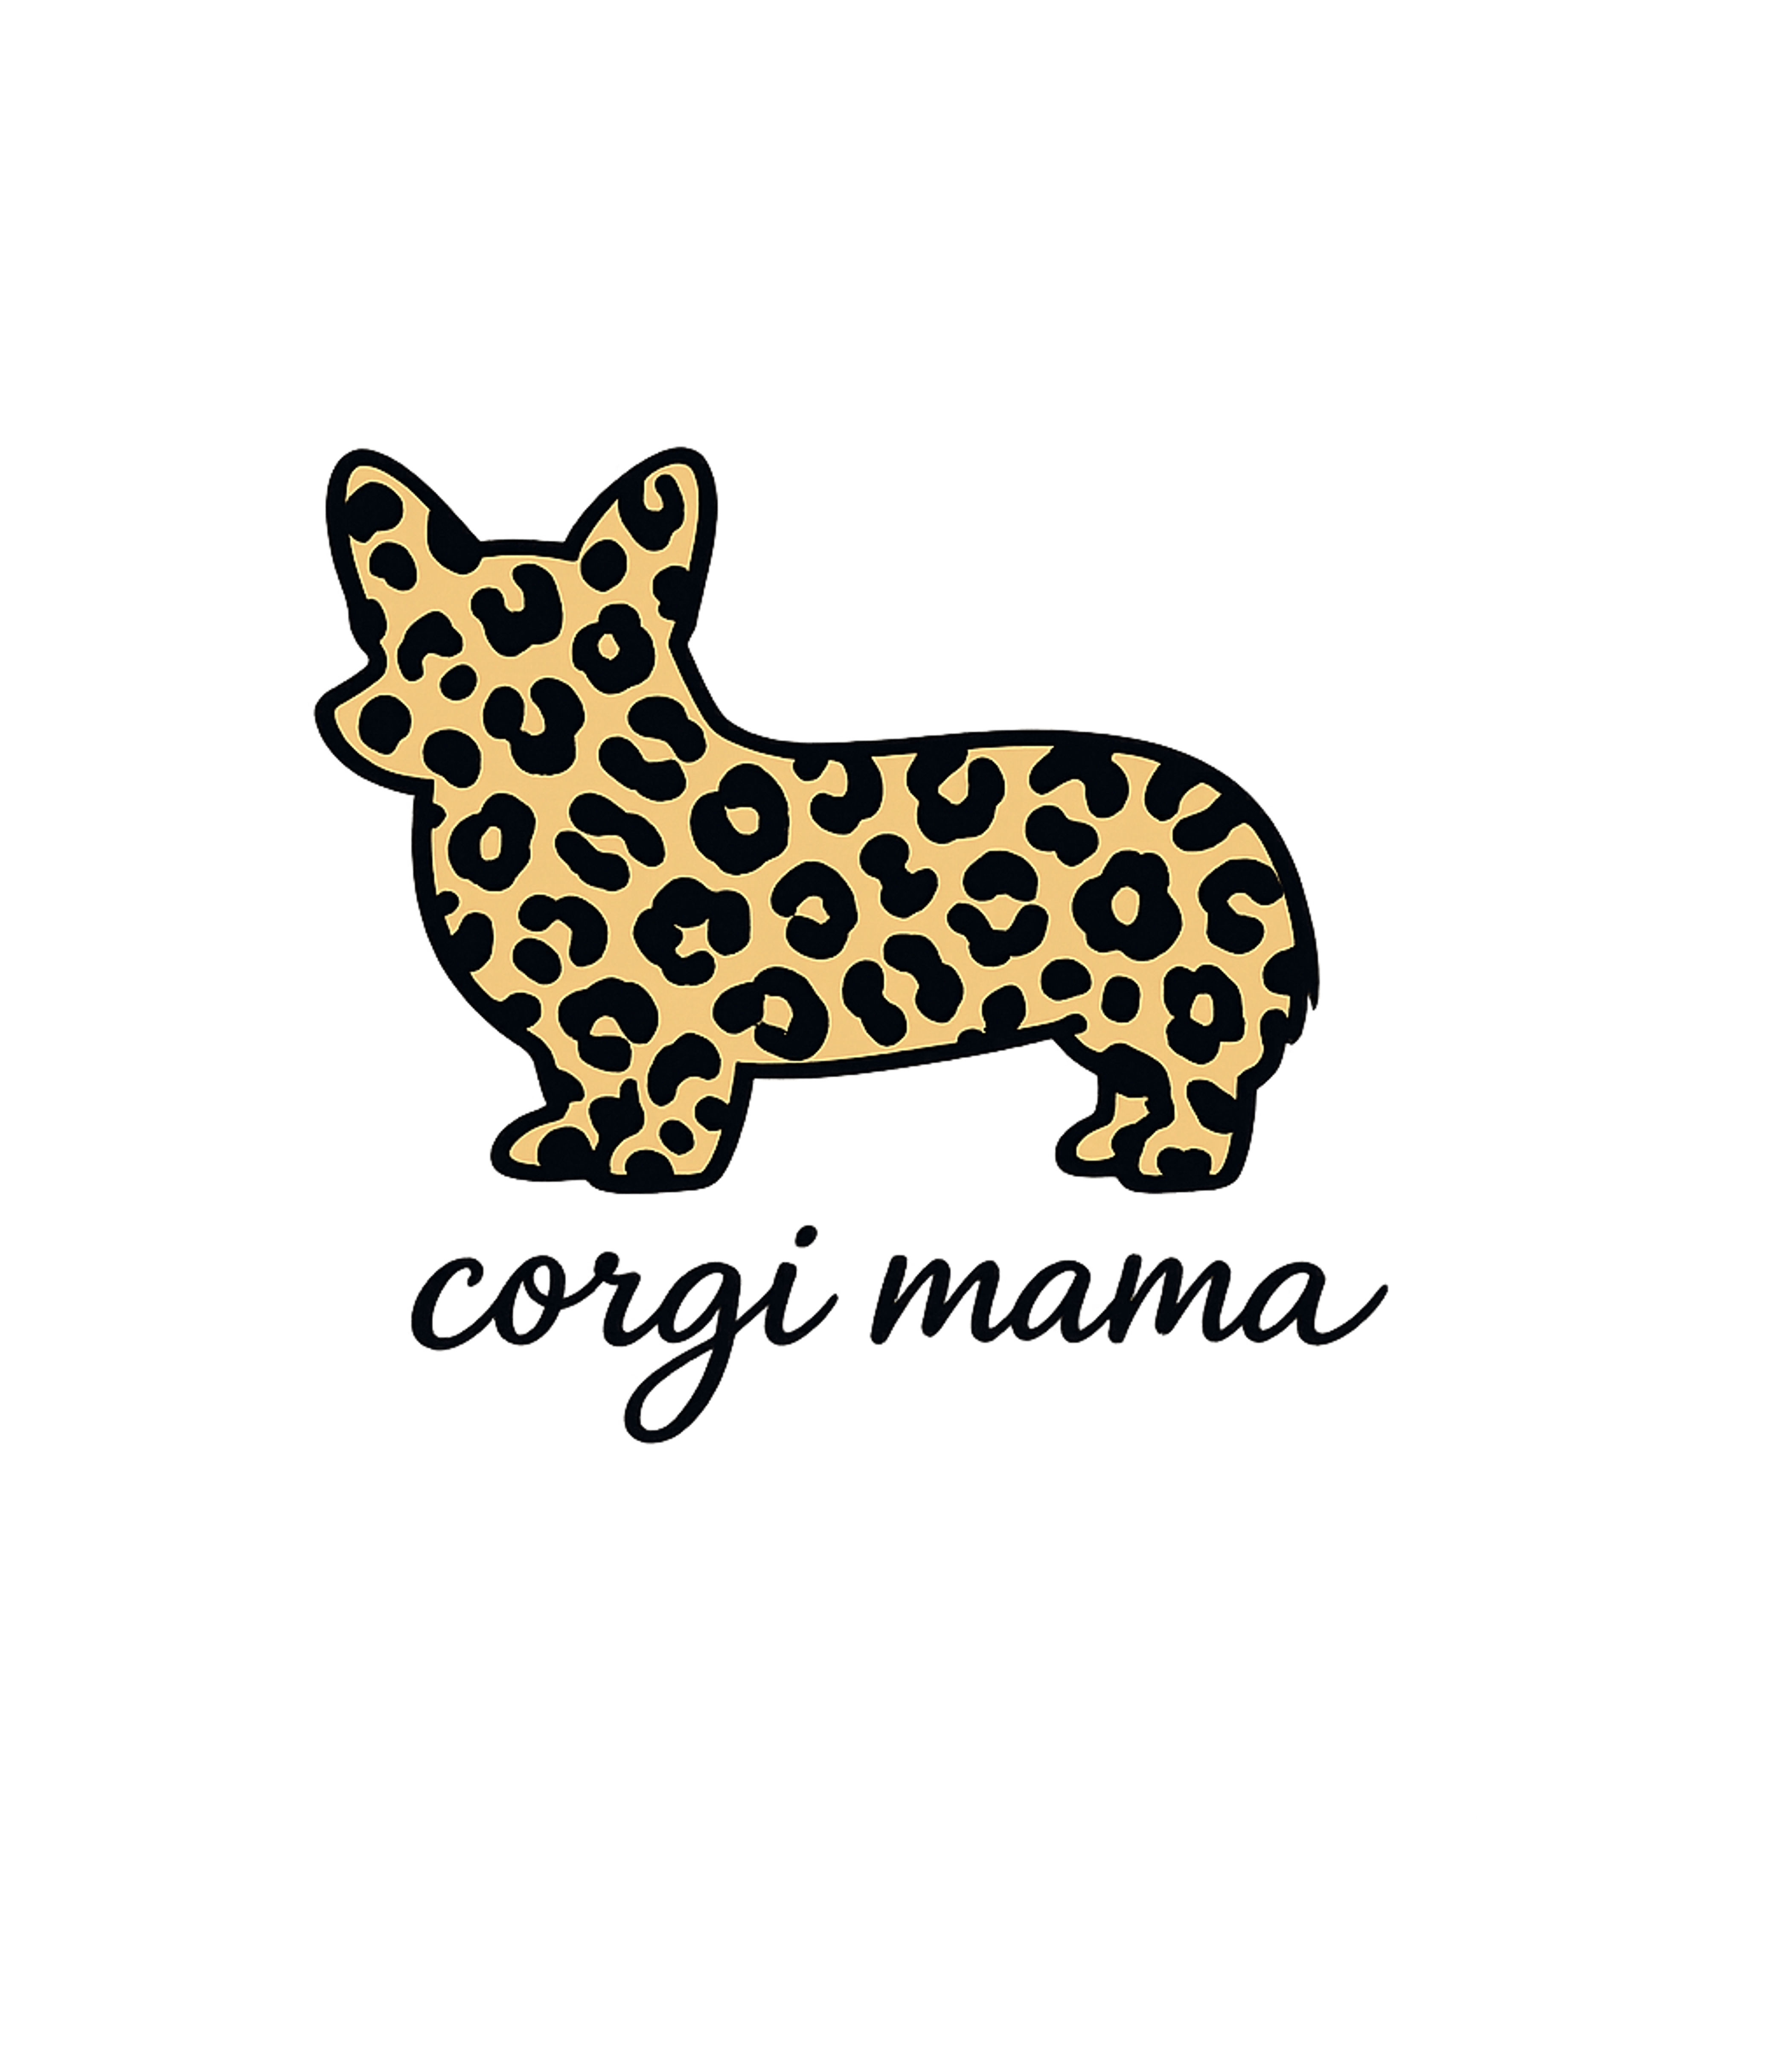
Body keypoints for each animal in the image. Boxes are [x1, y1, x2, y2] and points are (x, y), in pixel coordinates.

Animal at [317, 446, 1320, 1194]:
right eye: (403, 638)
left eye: (549, 646)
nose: (360, 720)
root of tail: (1241, 819)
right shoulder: (577, 1032)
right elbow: (584, 1084)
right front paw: (560, 1143)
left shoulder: (683, 1021)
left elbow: (670, 1089)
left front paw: (650, 1164)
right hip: (1102, 1019)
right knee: (1137, 1080)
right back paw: (1106, 1144)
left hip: (1170, 997)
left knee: (1203, 1083)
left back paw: (1176, 1161)